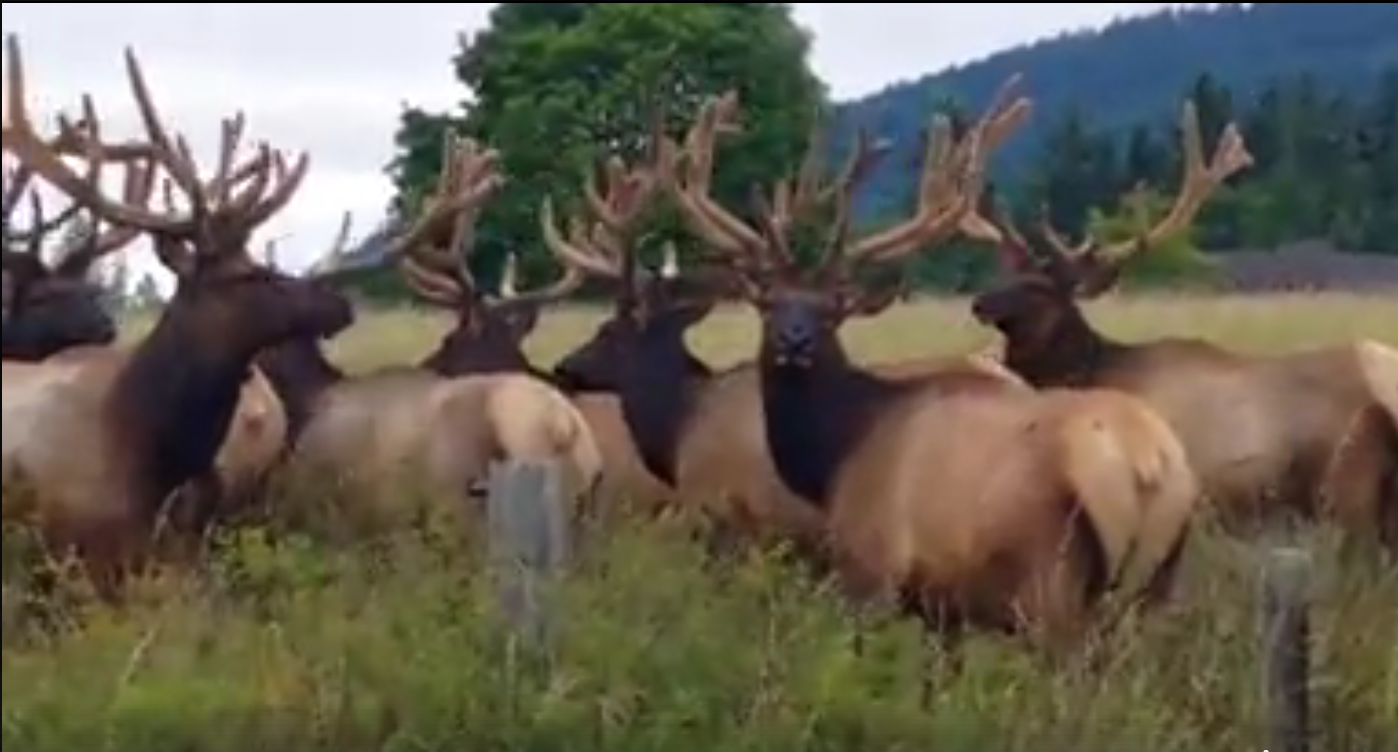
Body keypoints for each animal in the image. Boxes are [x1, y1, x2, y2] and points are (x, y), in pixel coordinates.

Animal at [659, 81, 1202, 649]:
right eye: (767, 303)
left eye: (833, 311)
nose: (794, 340)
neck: (837, 455)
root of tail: (1150, 466)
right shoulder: (945, 608)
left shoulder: (871, 566)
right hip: (1157, 580)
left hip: (1053, 588)